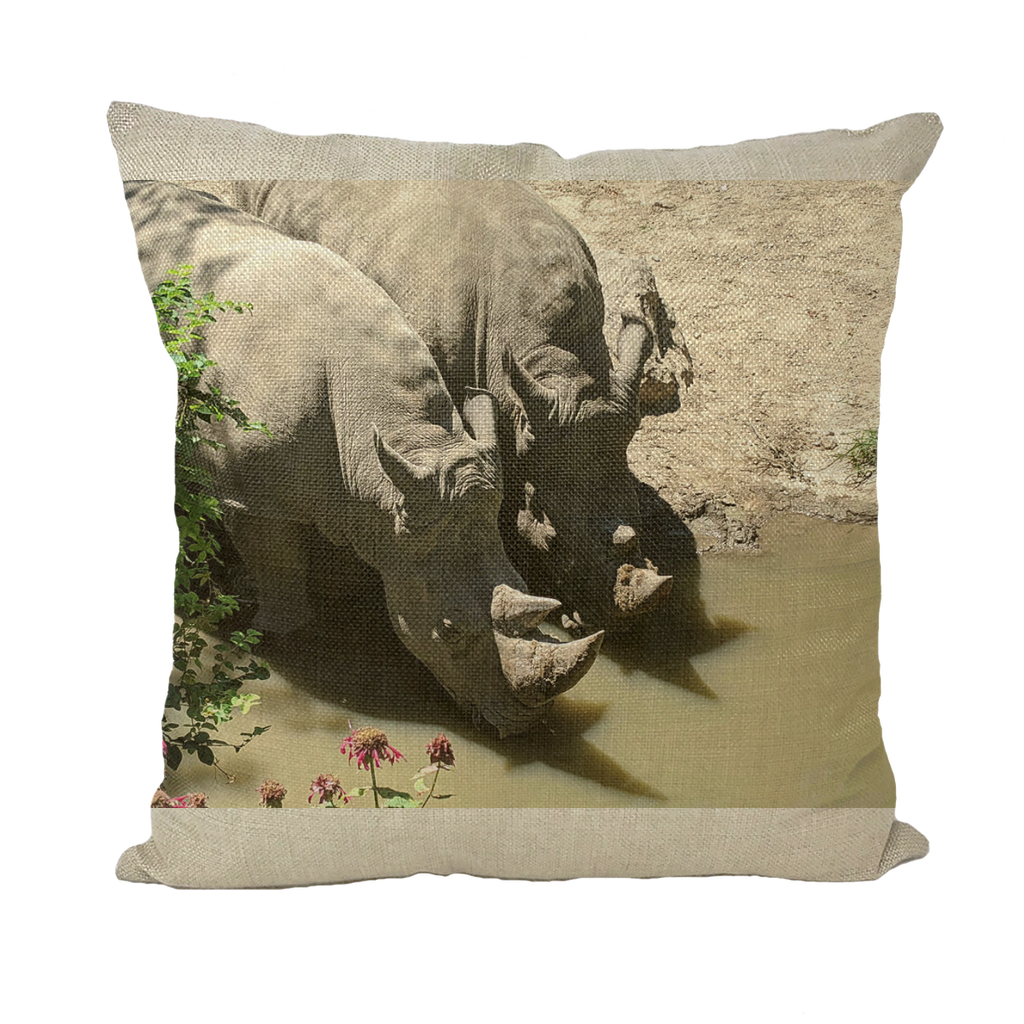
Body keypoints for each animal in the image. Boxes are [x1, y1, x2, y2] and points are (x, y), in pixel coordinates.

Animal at [124, 180, 604, 737]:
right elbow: (280, 570)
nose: (524, 726)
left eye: (530, 588)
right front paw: (286, 638)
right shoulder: (250, 494)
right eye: (449, 632)